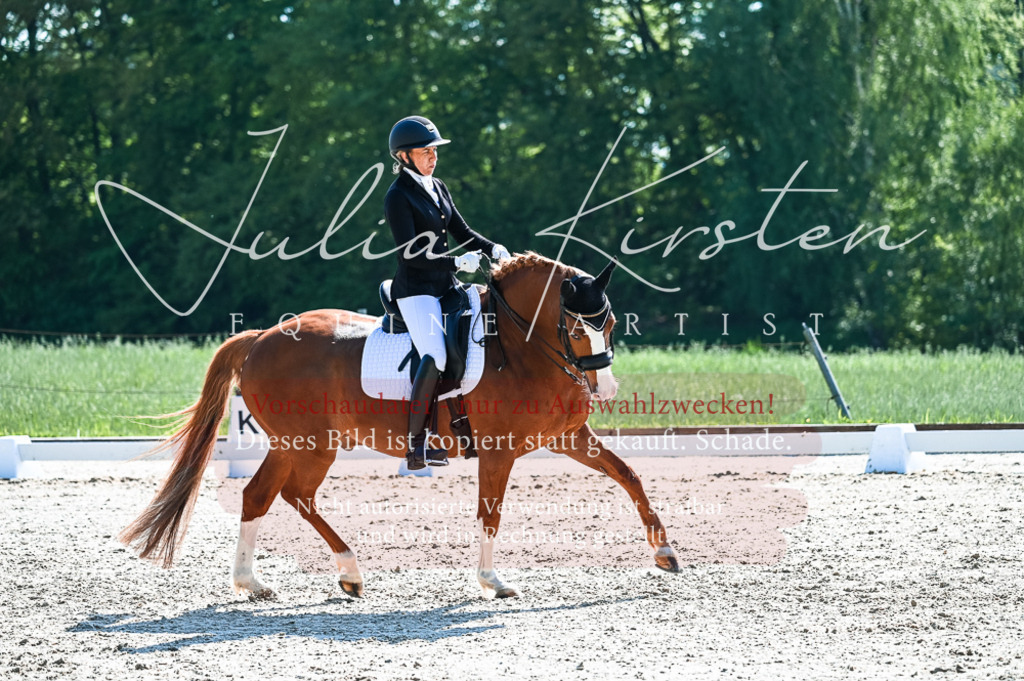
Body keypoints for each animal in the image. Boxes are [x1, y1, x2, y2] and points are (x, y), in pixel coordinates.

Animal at [121, 252, 681, 599]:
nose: (604, 389)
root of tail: (260, 337)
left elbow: (629, 475)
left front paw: (666, 553)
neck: (518, 346)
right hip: (306, 442)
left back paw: (303, 579)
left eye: (610, 323)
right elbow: (490, 514)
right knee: (275, 494)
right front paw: (492, 581)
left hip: (303, 444)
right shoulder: (499, 451)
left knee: (278, 495)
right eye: (574, 327)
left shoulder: (568, 438)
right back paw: (299, 577)